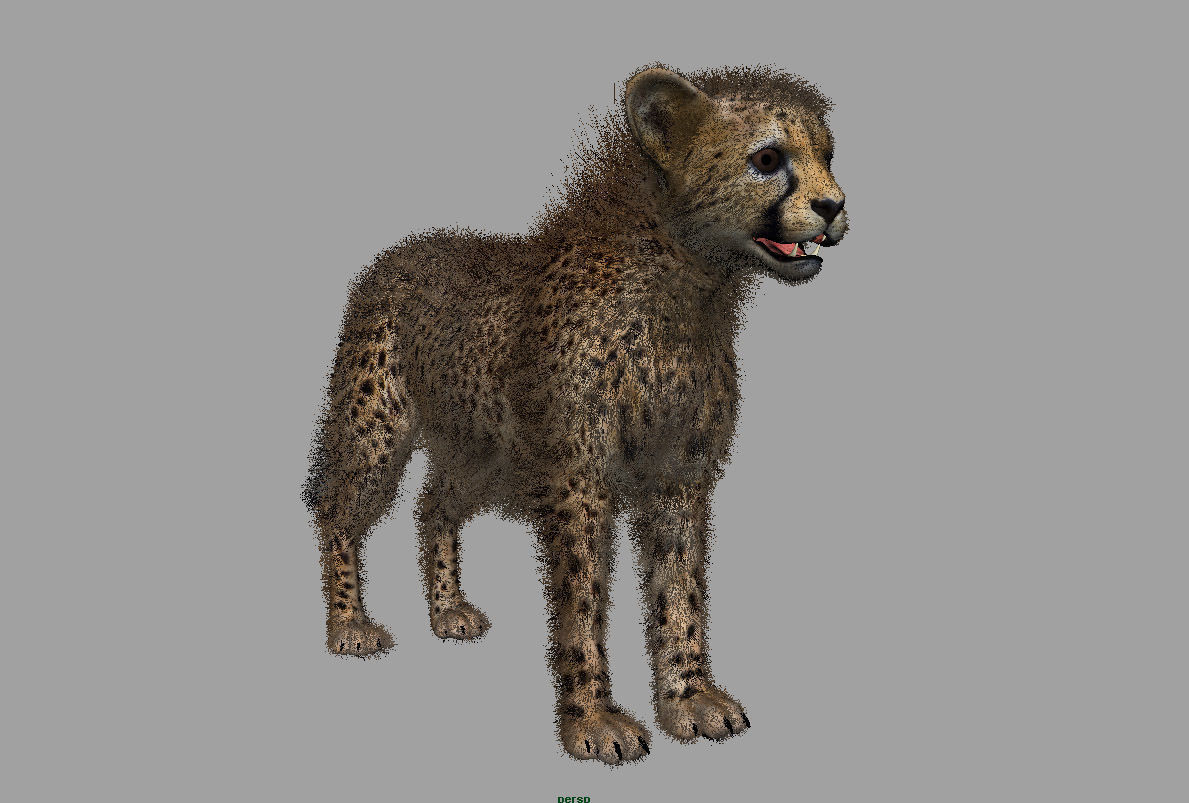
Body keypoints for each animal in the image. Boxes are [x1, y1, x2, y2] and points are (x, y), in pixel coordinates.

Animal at [302, 63, 848, 765]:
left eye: (829, 157)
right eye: (768, 159)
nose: (836, 206)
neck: (685, 287)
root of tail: (401, 250)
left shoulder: (680, 474)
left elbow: (681, 591)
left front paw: (690, 697)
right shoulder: (577, 478)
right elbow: (583, 600)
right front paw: (593, 720)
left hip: (483, 450)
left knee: (434, 505)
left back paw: (447, 609)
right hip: (377, 429)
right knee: (338, 508)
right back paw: (348, 623)